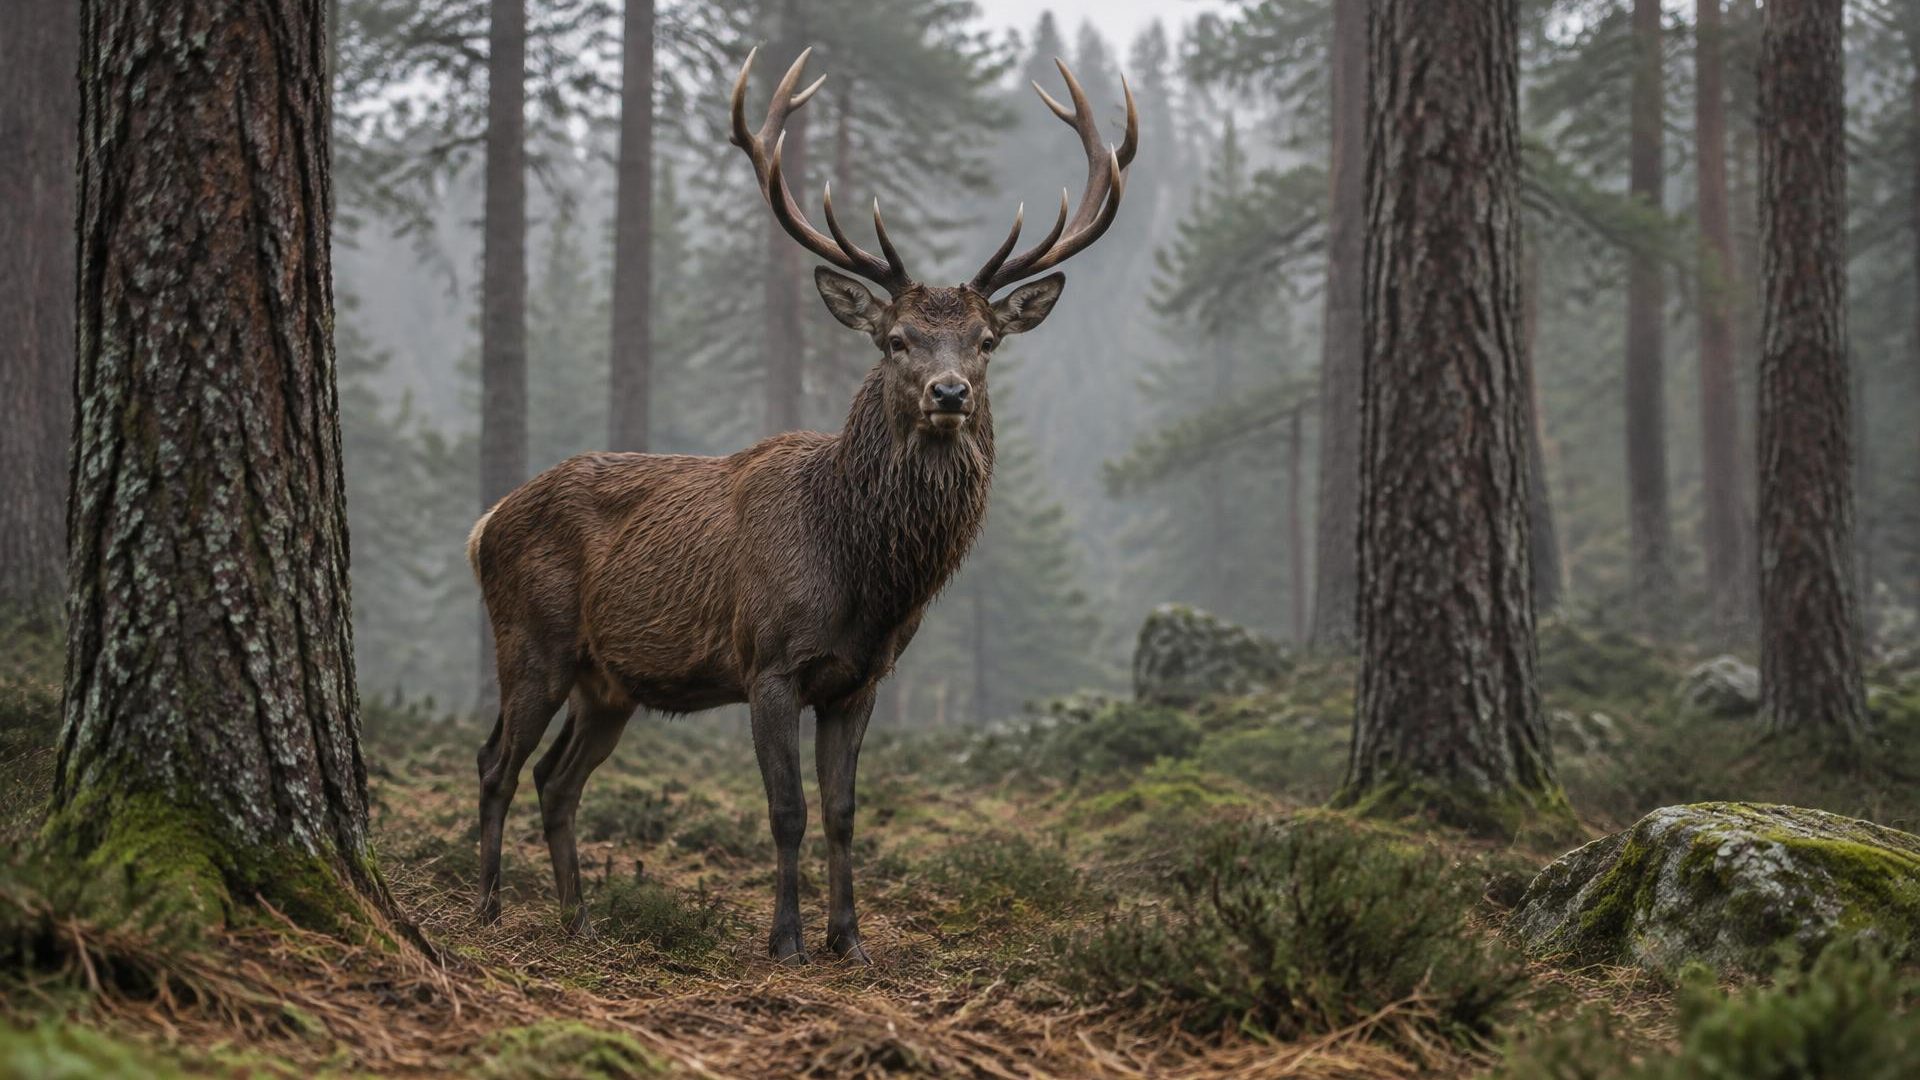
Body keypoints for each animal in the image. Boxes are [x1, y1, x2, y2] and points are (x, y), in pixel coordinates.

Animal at [467, 46, 1137, 964]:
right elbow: (785, 811)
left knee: (554, 777)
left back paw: (580, 919)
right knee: (496, 761)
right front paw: (784, 939)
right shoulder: (769, 663)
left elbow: (844, 814)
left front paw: (848, 940)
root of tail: (484, 525)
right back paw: (488, 907)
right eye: (896, 339)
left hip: (609, 684)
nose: (950, 393)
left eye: (987, 342)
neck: (864, 573)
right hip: (532, 639)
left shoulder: (860, 680)